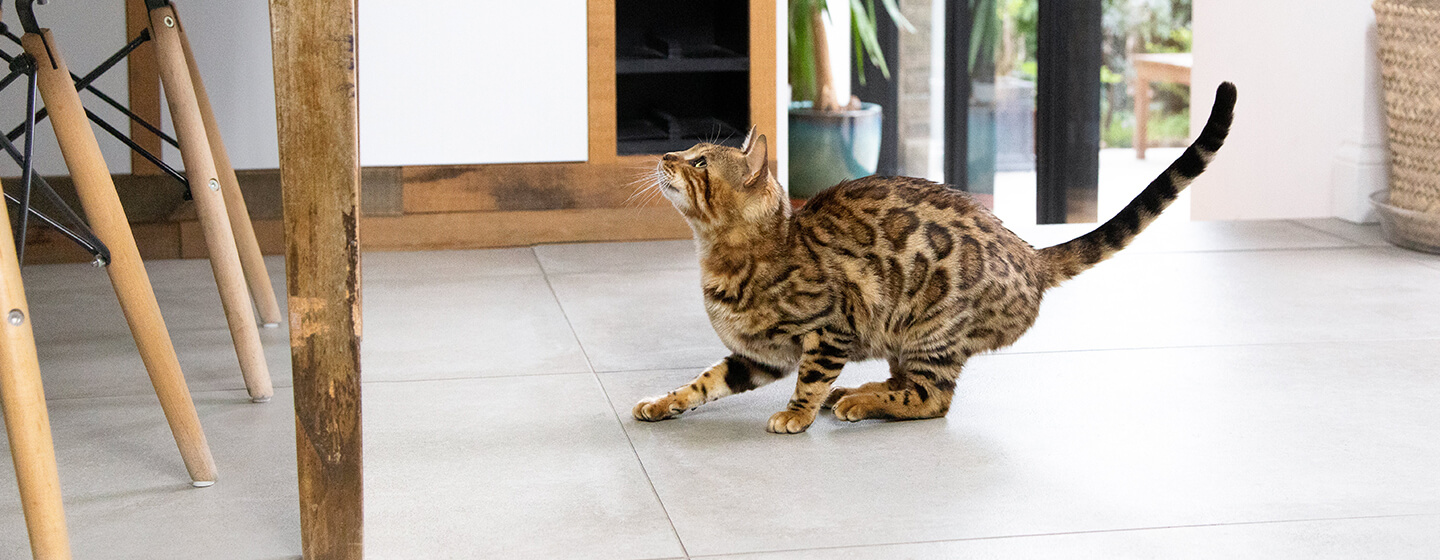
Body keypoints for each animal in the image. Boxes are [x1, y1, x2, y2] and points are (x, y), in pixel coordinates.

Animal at [636, 81, 1244, 431]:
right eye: (689, 152)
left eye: (700, 163)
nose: (665, 155)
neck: (722, 260)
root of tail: (1030, 254)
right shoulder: (759, 355)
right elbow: (704, 382)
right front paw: (663, 403)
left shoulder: (829, 330)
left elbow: (809, 379)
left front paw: (796, 413)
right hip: (905, 338)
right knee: (910, 385)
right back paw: (862, 391)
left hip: (930, 330)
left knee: (932, 400)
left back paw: (859, 402)